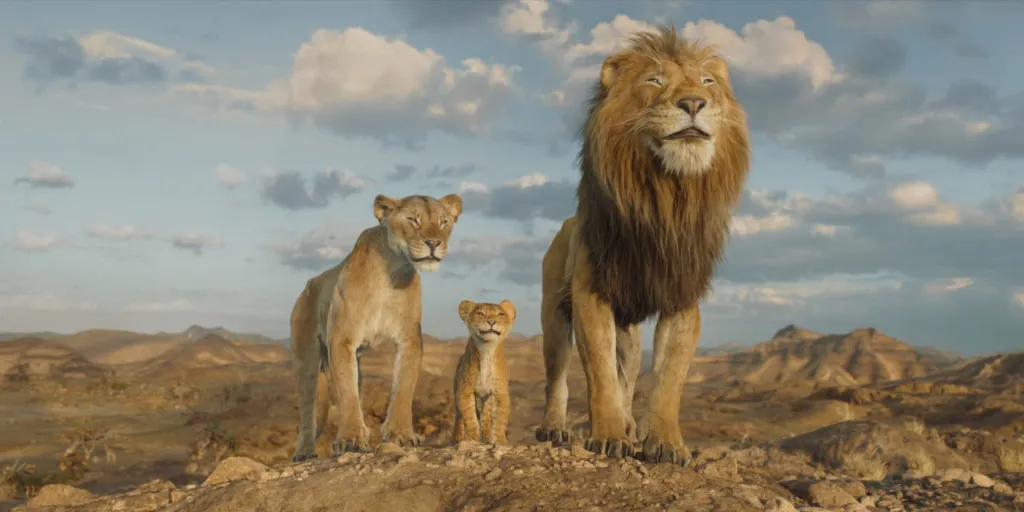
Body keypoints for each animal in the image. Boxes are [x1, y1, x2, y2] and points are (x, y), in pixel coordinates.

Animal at [290, 193, 463, 462]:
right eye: (413, 219)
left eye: (443, 222)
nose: (434, 243)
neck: (392, 271)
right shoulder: (342, 339)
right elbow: (347, 394)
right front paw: (350, 439)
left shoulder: (409, 339)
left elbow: (403, 387)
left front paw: (401, 434)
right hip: (307, 359)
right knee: (308, 408)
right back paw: (305, 452)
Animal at [452, 299, 516, 445]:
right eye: (480, 313)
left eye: (500, 314)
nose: (491, 322)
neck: (487, 349)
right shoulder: (464, 391)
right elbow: (469, 417)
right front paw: (472, 438)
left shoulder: (501, 393)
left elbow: (500, 419)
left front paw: (499, 440)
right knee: (458, 416)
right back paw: (457, 437)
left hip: (488, 398)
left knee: (486, 416)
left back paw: (486, 435)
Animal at [534, 25, 751, 465]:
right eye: (654, 81)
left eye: (708, 82)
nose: (693, 103)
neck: (666, 197)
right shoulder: (590, 293)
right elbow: (599, 374)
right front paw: (608, 435)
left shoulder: (681, 296)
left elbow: (668, 380)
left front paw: (666, 443)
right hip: (553, 314)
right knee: (557, 376)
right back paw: (554, 427)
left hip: (629, 333)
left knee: (628, 373)